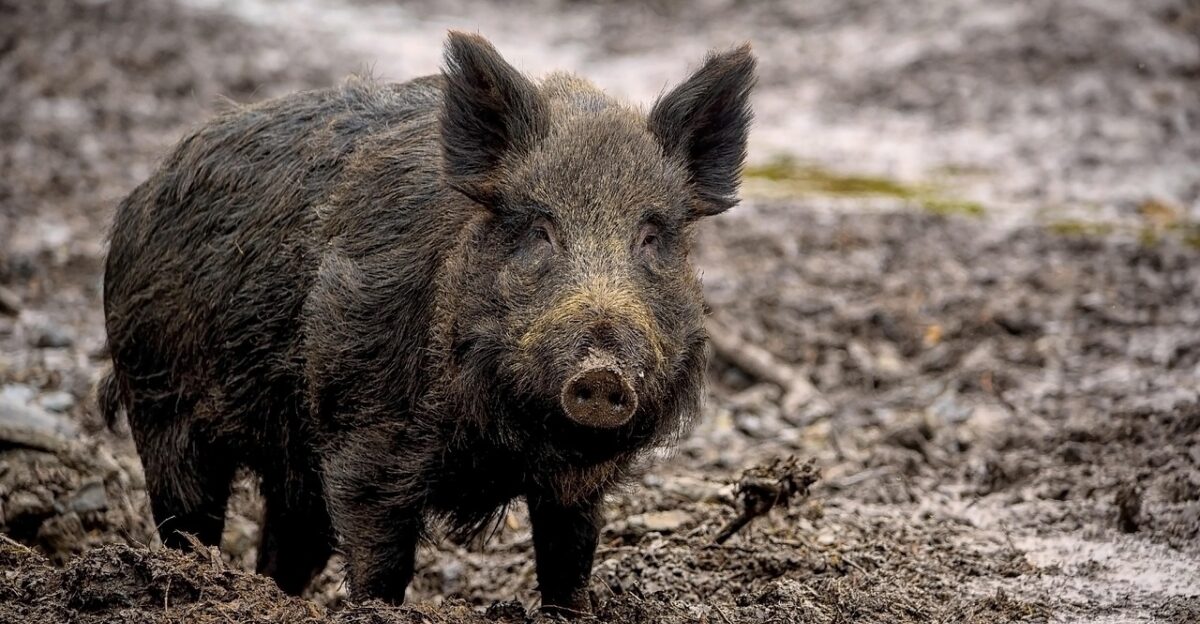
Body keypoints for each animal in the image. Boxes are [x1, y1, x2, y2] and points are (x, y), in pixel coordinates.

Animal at [100, 32, 755, 615]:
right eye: (539, 230)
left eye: (651, 236)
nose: (602, 373)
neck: (501, 440)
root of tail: (141, 193)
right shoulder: (366, 431)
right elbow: (381, 555)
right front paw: (375, 609)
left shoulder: (578, 484)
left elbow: (569, 560)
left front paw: (576, 611)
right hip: (160, 398)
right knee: (187, 515)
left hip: (289, 454)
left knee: (288, 538)